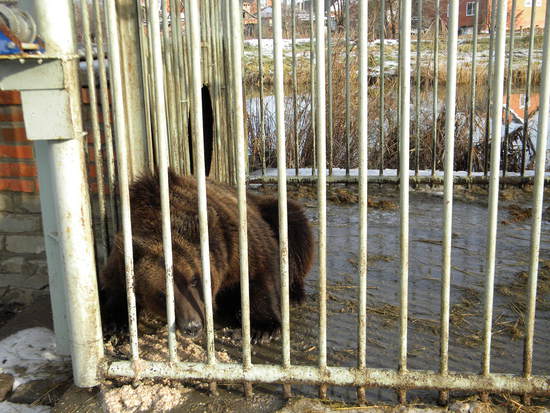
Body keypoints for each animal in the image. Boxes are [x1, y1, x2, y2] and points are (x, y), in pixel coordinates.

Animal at [98, 170, 314, 343]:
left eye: (194, 280)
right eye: (161, 293)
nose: (191, 326)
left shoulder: (236, 241)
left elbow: (259, 272)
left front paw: (261, 329)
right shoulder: (123, 255)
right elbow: (117, 287)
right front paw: (114, 325)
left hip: (276, 213)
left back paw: (293, 294)